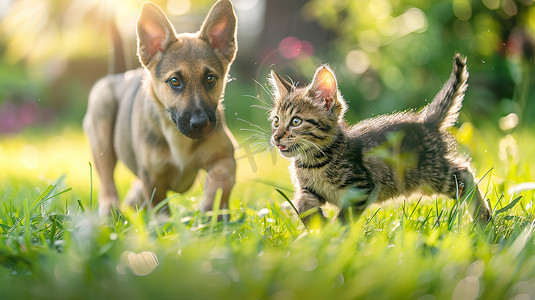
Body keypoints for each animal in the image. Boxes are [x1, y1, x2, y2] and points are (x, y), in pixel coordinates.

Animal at [84, 0, 239, 216]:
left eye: (210, 79)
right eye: (174, 81)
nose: (201, 124)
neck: (177, 137)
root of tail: (119, 75)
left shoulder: (224, 158)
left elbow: (220, 185)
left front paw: (212, 212)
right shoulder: (152, 177)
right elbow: (160, 210)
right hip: (102, 126)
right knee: (107, 180)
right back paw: (110, 209)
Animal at [270, 54, 492, 223]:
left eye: (296, 121)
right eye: (276, 121)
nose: (276, 137)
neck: (314, 161)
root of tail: (426, 121)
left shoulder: (361, 189)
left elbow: (344, 219)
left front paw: (333, 237)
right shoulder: (308, 190)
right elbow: (302, 204)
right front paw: (317, 229)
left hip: (431, 173)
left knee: (464, 174)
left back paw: (483, 220)